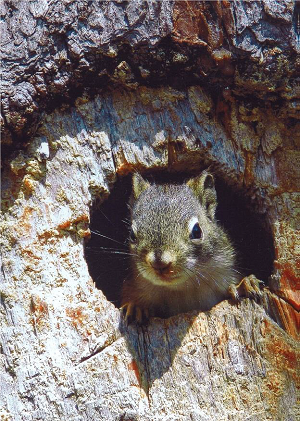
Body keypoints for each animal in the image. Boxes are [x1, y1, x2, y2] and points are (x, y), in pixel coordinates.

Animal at [120, 171, 262, 322]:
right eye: (132, 235)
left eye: (197, 231)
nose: (160, 264)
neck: (183, 288)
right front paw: (137, 308)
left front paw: (245, 284)